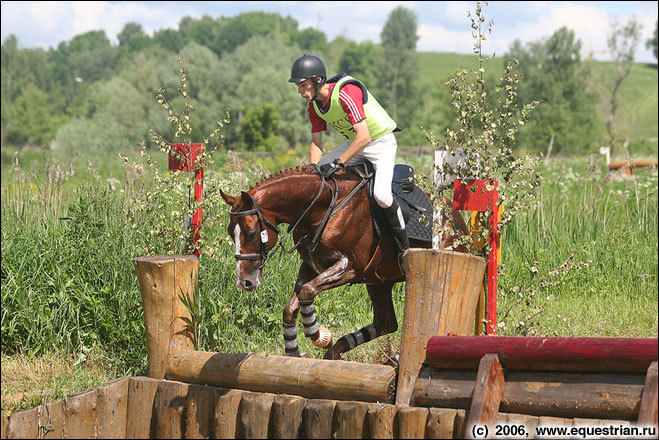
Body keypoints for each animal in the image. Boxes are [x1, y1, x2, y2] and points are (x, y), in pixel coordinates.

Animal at [222, 165, 470, 360]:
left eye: (251, 232)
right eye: (231, 233)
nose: (245, 282)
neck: (322, 209)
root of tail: (457, 218)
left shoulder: (350, 267)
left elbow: (306, 292)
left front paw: (318, 334)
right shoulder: (312, 266)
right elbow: (293, 304)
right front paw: (294, 352)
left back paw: (398, 356)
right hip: (378, 282)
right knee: (387, 323)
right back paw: (341, 353)